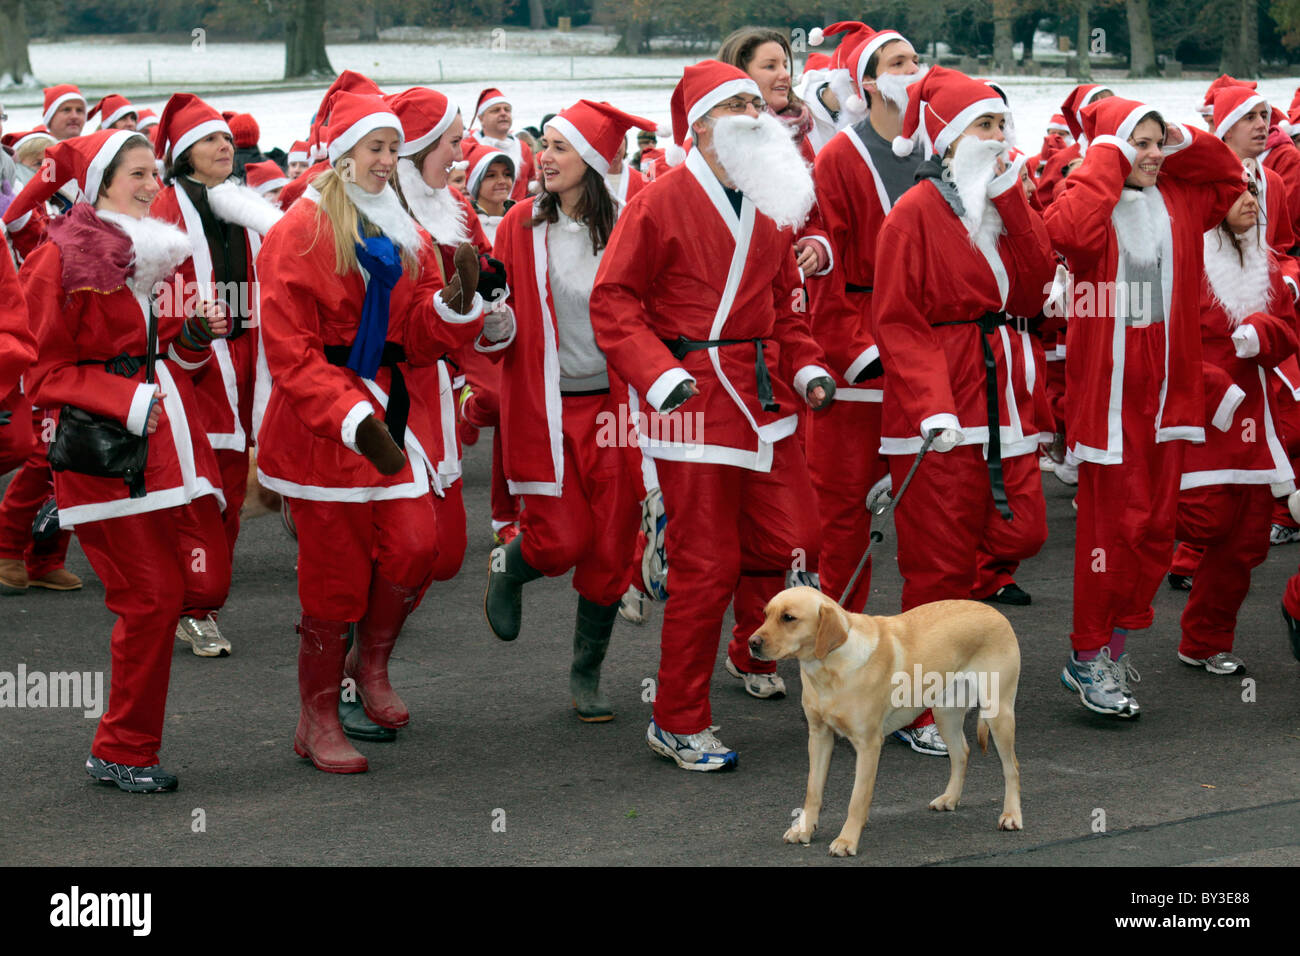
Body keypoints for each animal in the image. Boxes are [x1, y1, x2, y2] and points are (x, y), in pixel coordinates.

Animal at [754, 587, 1024, 858]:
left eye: (788, 618)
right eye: (765, 614)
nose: (752, 643)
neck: (831, 664)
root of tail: (995, 612)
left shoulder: (869, 745)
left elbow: (857, 799)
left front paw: (847, 840)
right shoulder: (819, 736)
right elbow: (813, 790)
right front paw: (804, 829)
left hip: (998, 713)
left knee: (1011, 767)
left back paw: (1011, 816)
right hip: (945, 713)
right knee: (962, 754)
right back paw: (949, 798)